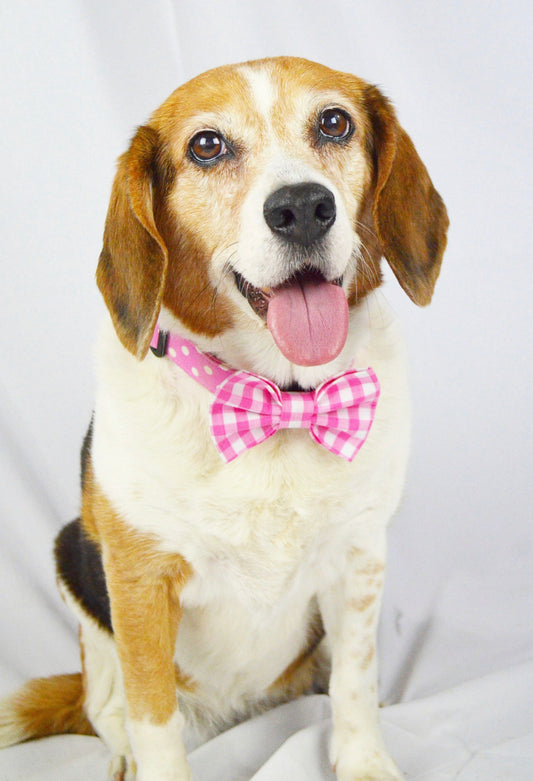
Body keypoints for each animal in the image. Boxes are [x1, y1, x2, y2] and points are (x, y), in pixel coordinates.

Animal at [0, 56, 448, 780]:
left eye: (334, 123)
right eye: (207, 146)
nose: (302, 208)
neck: (277, 399)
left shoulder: (359, 556)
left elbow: (356, 678)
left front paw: (363, 761)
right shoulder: (140, 582)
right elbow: (153, 718)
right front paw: (150, 758)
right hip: (72, 553)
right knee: (104, 702)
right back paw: (119, 749)